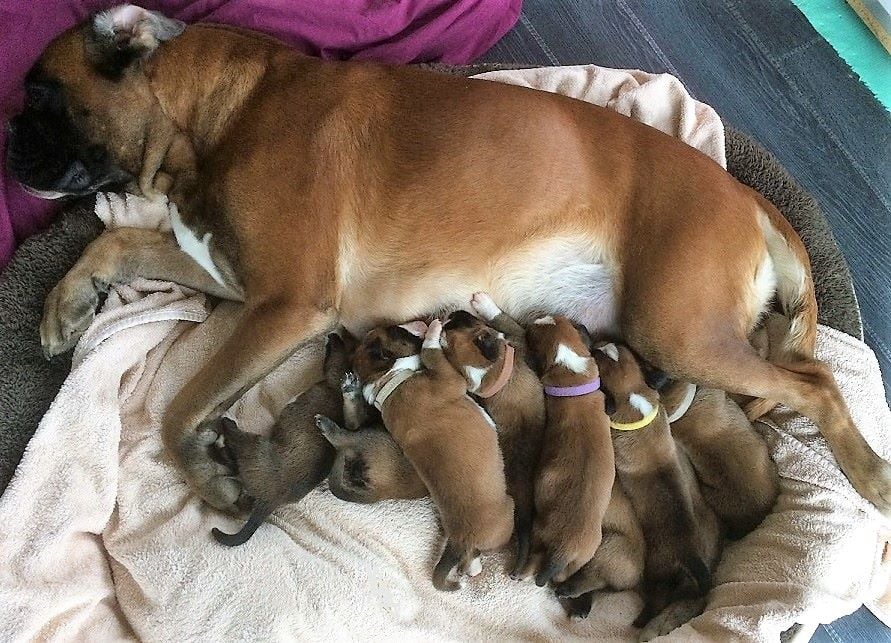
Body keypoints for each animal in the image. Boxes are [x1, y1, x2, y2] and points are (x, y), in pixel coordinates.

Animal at [15, 3, 891, 520]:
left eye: (41, 98)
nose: (10, 147)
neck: (215, 115)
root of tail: (748, 197)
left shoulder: (284, 304)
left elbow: (178, 407)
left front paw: (205, 471)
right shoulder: (232, 276)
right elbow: (116, 239)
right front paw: (67, 300)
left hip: (678, 329)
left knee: (816, 382)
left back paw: (870, 475)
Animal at [209, 332, 352, 548]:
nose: (332, 334)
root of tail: (270, 500)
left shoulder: (333, 370)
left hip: (254, 444)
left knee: (233, 448)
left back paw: (225, 428)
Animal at [592, 342, 724, 640]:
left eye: (597, 357)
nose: (595, 344)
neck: (633, 393)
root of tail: (690, 555)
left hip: (656, 576)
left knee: (655, 601)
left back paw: (641, 621)